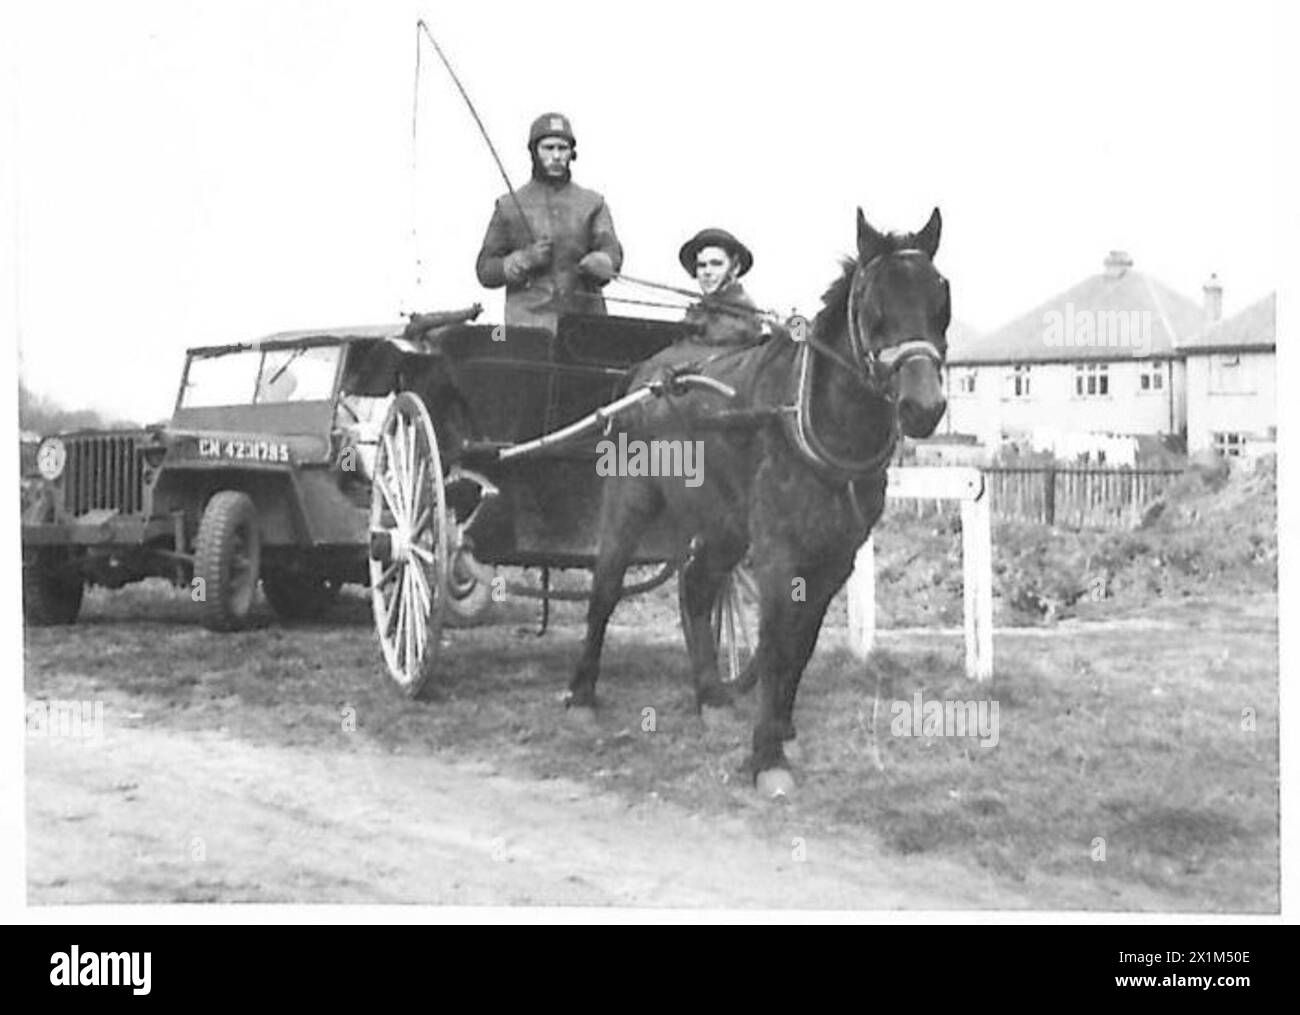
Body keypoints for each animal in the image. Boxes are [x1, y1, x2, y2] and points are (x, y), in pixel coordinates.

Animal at [564, 205, 951, 790]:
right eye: (874, 306)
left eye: (941, 297)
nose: (923, 406)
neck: (811, 419)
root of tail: (645, 375)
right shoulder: (777, 553)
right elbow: (774, 646)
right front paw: (766, 755)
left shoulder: (836, 557)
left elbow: (802, 646)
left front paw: (782, 731)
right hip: (630, 502)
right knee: (606, 588)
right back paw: (583, 696)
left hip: (722, 524)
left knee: (697, 588)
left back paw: (710, 697)